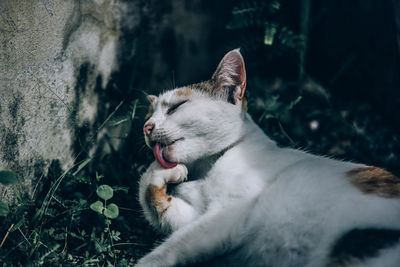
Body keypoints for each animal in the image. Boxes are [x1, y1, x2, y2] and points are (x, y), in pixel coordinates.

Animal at [135, 49, 400, 266]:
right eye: (148, 115)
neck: (208, 168)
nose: (146, 127)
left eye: (176, 107)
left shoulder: (227, 214)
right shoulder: (199, 218)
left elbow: (167, 250)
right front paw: (165, 174)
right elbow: (152, 196)